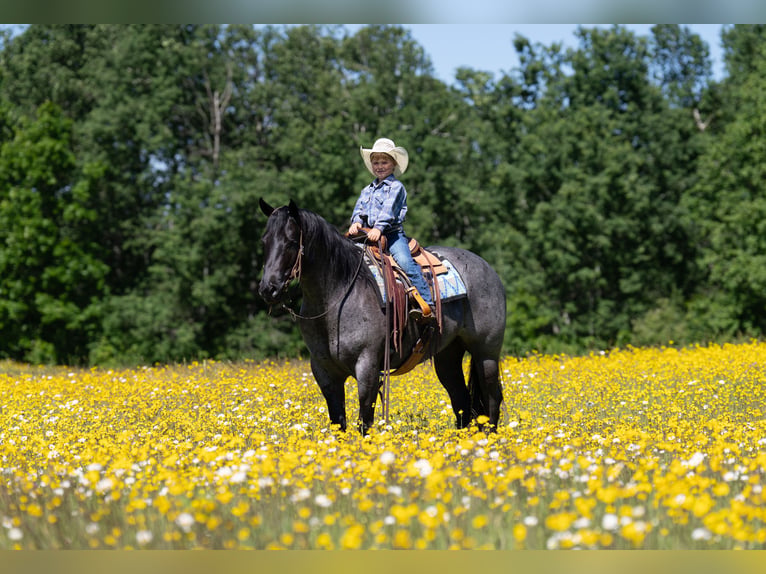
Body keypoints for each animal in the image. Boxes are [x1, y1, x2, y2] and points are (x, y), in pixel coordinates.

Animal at [258, 199, 506, 434]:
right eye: (265, 241)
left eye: (291, 241)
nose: (268, 289)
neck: (339, 294)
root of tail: (486, 267)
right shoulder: (324, 372)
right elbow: (338, 423)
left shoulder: (367, 367)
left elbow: (364, 422)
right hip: (448, 355)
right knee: (461, 401)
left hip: (486, 353)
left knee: (492, 399)